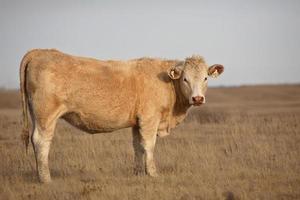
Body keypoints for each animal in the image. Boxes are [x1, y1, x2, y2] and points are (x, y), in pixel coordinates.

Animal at [19, 48, 224, 183]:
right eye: (185, 79)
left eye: (205, 78)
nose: (198, 98)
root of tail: (40, 52)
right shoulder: (150, 119)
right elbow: (149, 145)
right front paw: (153, 173)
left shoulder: (137, 122)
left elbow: (138, 147)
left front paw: (138, 173)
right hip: (46, 114)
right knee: (41, 141)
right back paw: (45, 178)